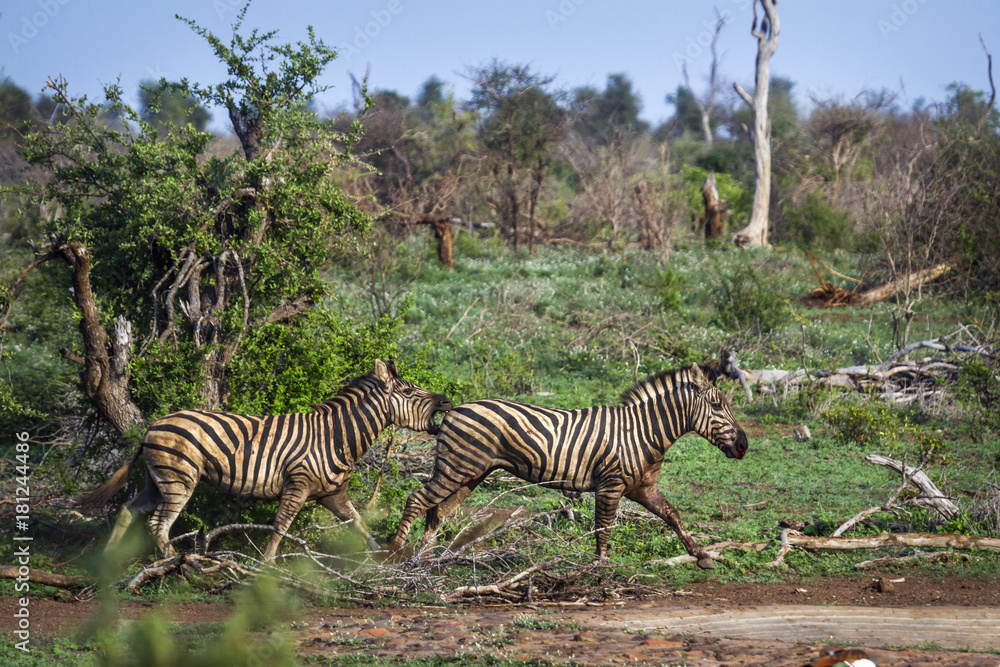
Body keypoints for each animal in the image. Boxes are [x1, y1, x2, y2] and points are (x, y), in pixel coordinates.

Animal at [85, 360, 454, 559]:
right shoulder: (298, 485)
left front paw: (381, 558)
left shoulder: (333, 495)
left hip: (157, 480)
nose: (448, 401)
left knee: (128, 510)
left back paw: (109, 560)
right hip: (179, 480)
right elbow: (279, 528)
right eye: (409, 392)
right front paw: (268, 566)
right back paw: (177, 567)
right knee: (157, 524)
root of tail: (153, 426)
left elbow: (360, 525)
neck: (336, 437)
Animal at [387, 363, 747, 569]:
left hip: (470, 473)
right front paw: (600, 568)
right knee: (417, 501)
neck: (642, 432)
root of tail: (455, 408)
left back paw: (425, 561)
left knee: (438, 511)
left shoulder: (643, 488)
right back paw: (394, 554)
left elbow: (673, 516)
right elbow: (603, 528)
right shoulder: (611, 485)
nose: (743, 446)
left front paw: (702, 556)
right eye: (718, 406)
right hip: (456, 468)